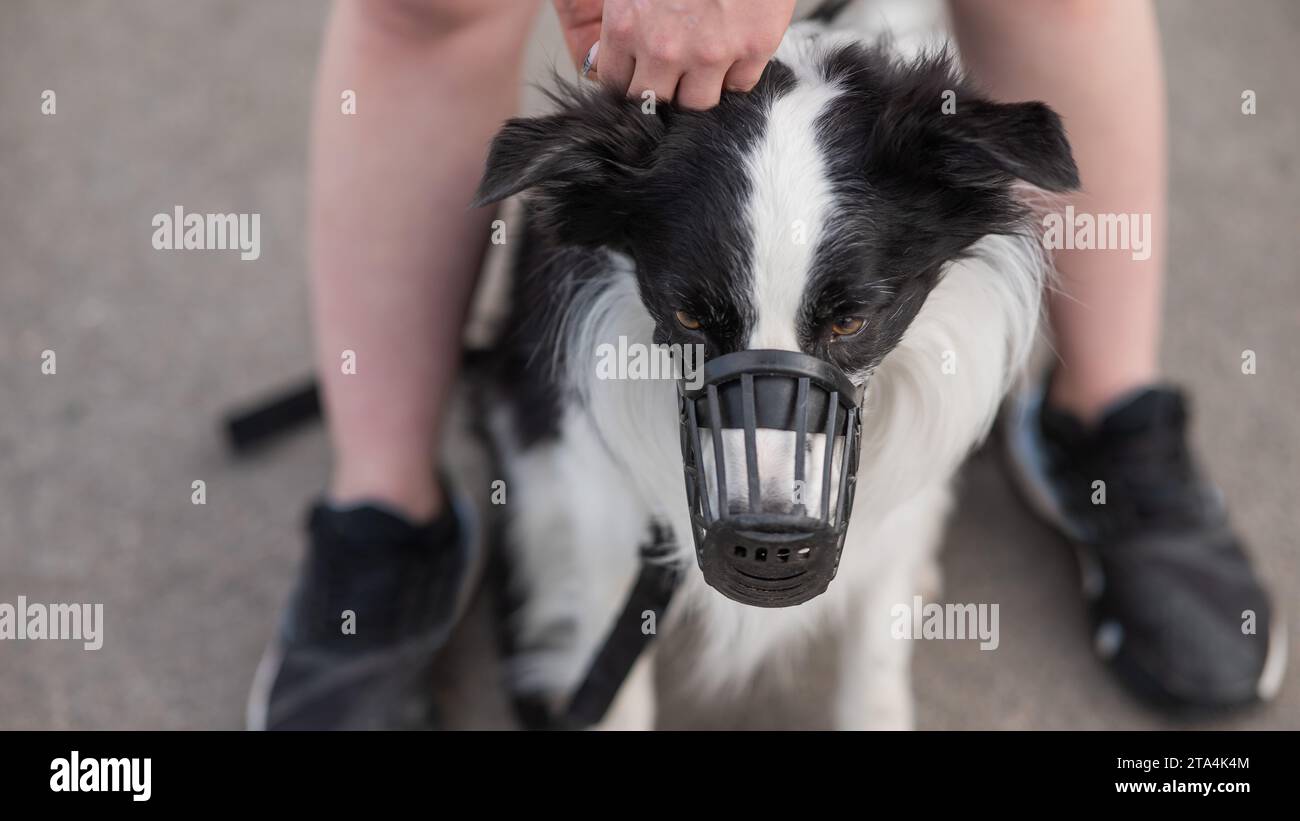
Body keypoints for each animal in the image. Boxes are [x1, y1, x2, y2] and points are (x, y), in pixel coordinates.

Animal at [467, 11, 1076, 732]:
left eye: (851, 321)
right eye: (688, 316)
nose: (768, 543)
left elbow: (875, 662)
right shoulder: (605, 506)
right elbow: (616, 682)